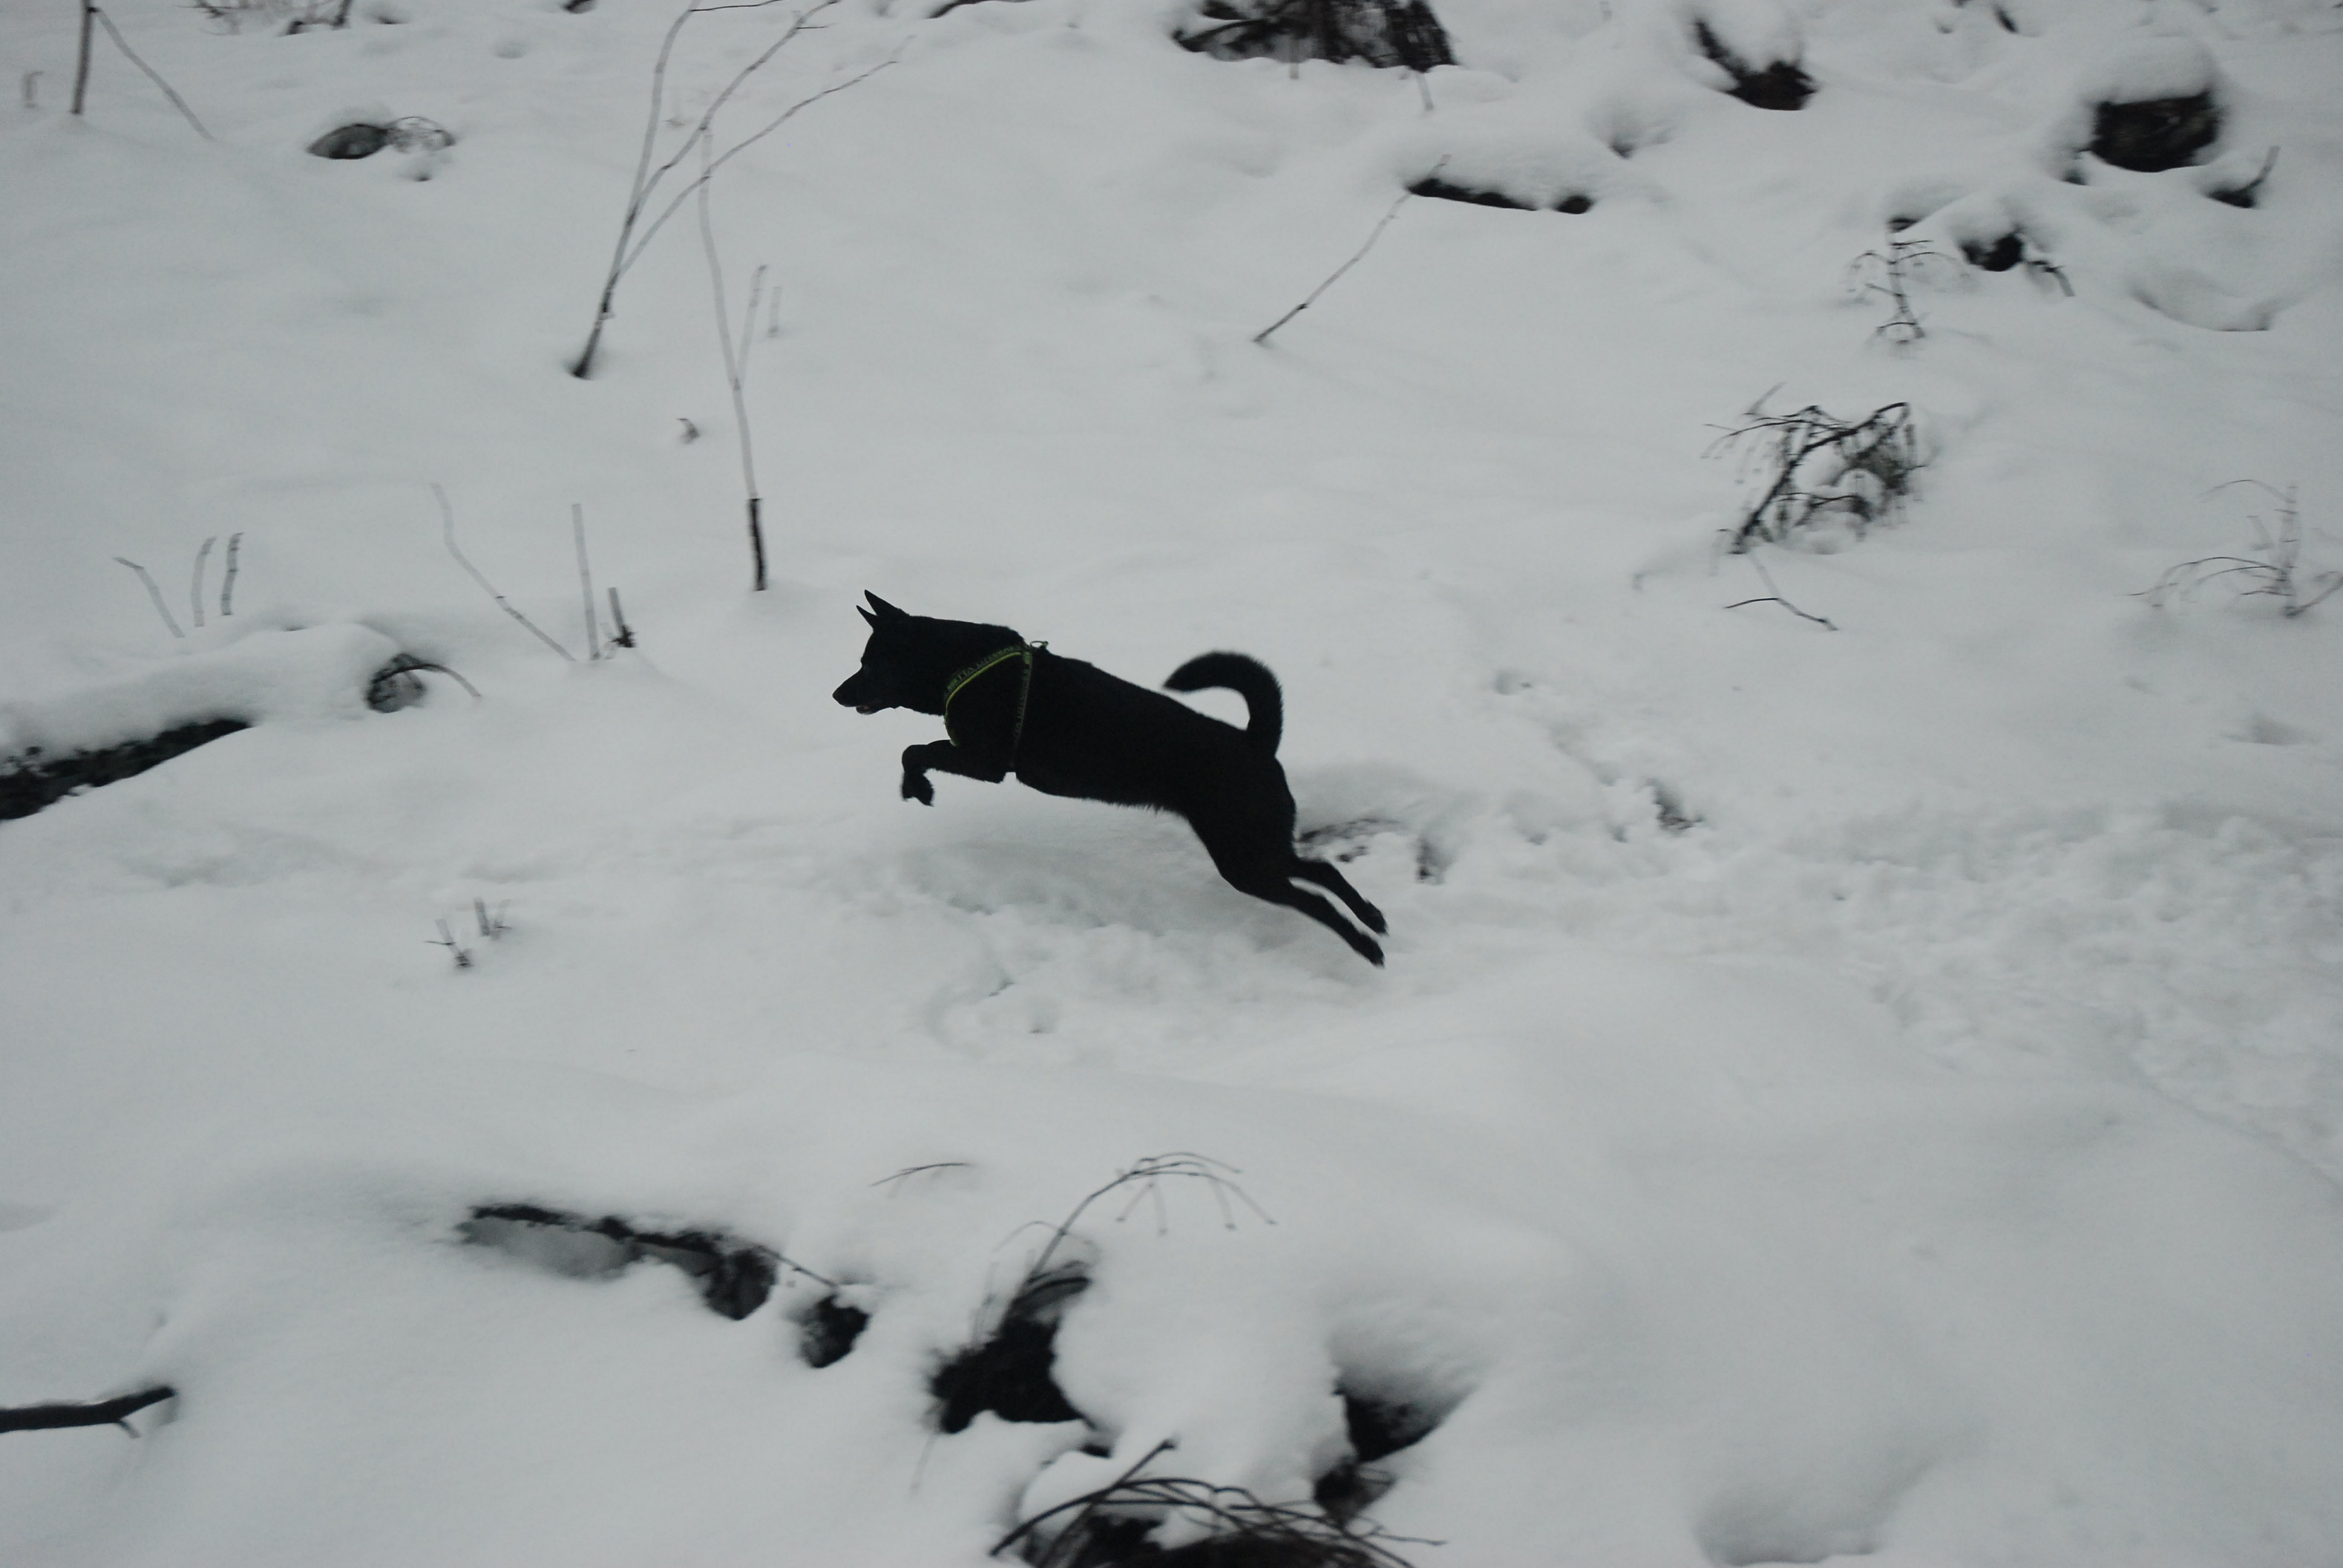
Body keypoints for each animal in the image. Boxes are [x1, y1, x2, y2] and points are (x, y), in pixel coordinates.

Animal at [832, 593, 1388, 965]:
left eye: (870, 663)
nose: (837, 694)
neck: (961, 666)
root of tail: (1256, 742)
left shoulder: (985, 763)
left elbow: (915, 751)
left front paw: (917, 788)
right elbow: (915, 750)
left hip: (1243, 857)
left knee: (1313, 896)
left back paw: (1366, 945)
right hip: (1253, 845)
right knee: (1321, 869)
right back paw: (1373, 917)